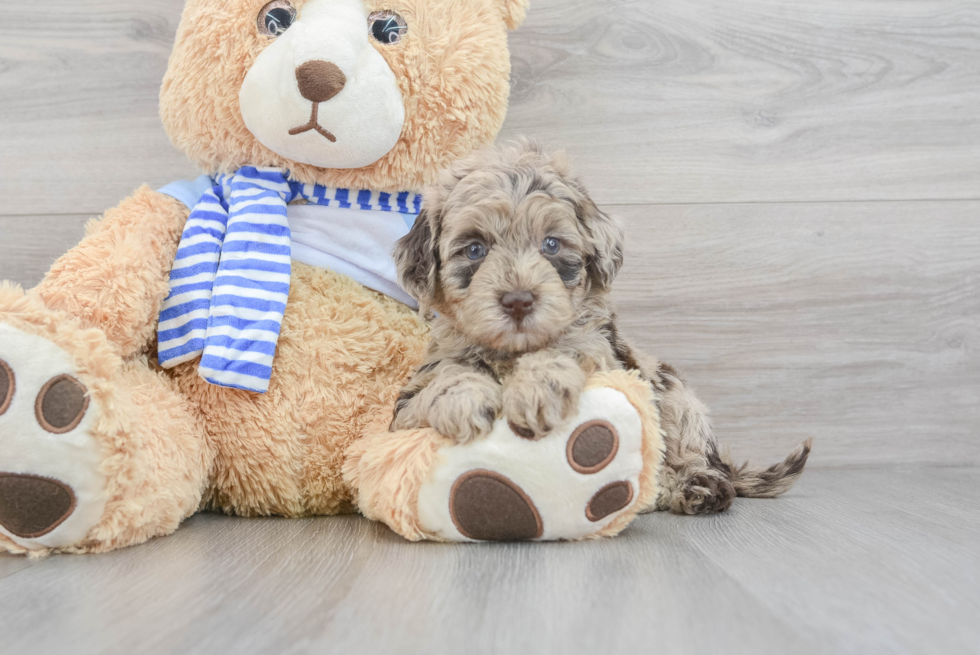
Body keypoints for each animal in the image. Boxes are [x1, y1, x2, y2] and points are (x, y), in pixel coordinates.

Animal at [390, 141, 812, 516]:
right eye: (475, 249)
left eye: (552, 245)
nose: (519, 301)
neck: (513, 351)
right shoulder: (403, 411)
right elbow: (445, 377)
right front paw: (464, 399)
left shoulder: (607, 360)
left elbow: (567, 351)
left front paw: (537, 387)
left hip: (676, 395)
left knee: (692, 456)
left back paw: (694, 485)